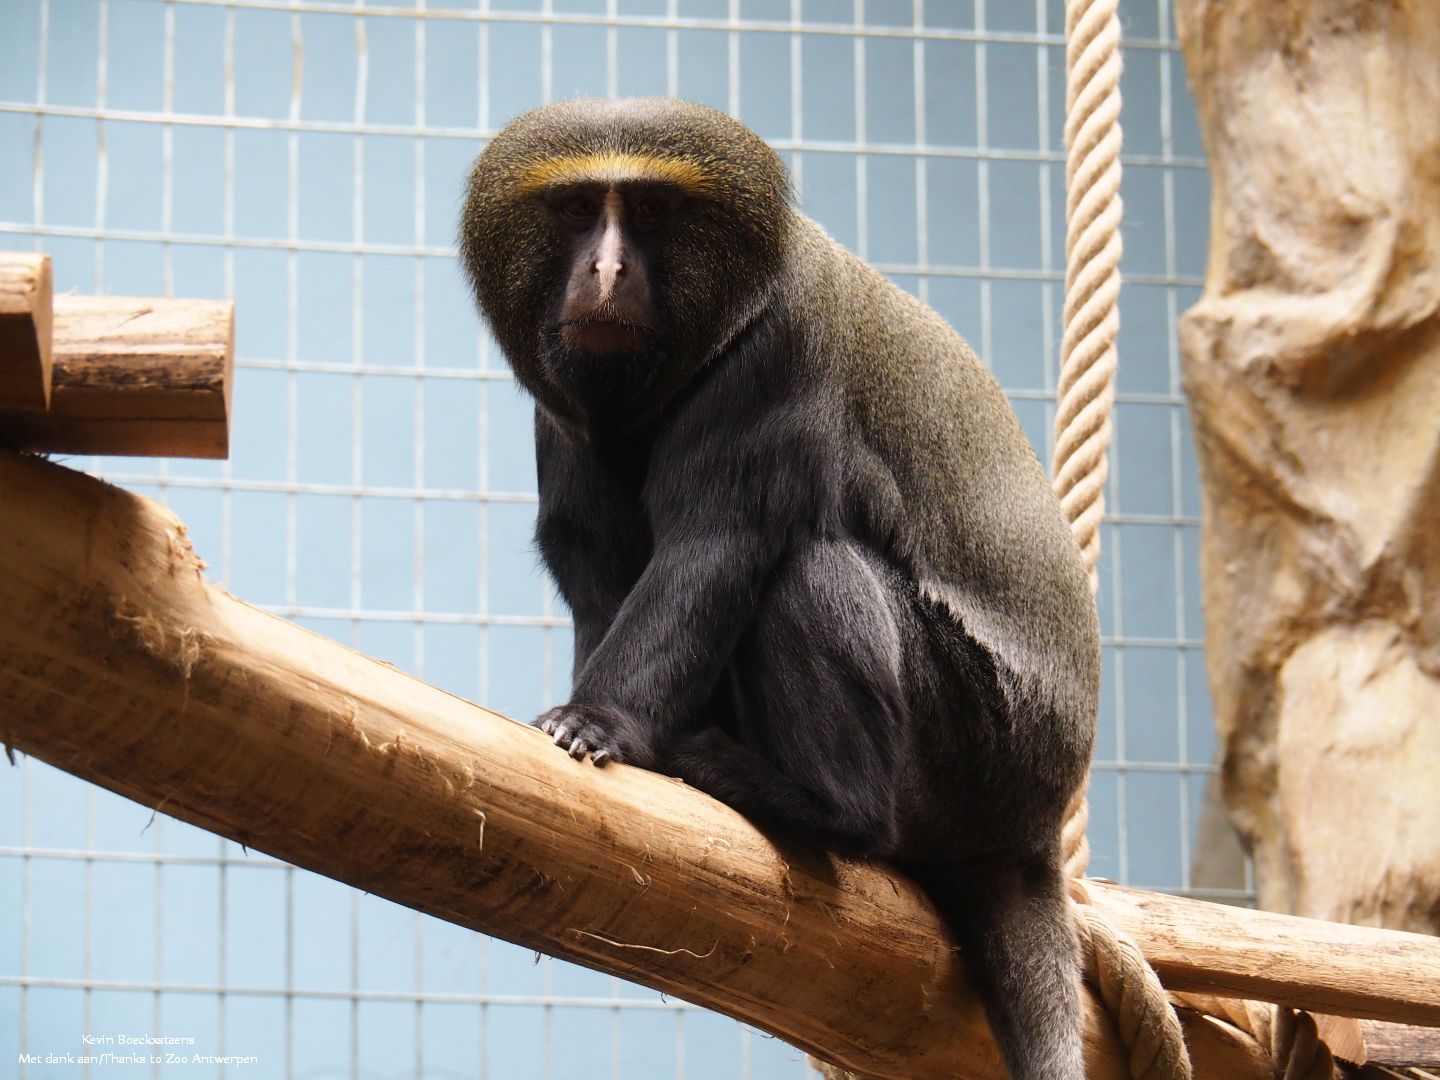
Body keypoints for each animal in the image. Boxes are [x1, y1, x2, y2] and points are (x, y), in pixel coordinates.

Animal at [460, 97, 1099, 1080]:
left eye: (652, 213)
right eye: (574, 211)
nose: (605, 271)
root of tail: (1034, 826)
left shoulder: (781, 348)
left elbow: (716, 543)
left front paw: (596, 724)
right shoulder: (559, 405)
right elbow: (601, 574)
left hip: (976, 745)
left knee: (807, 566)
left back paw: (818, 806)